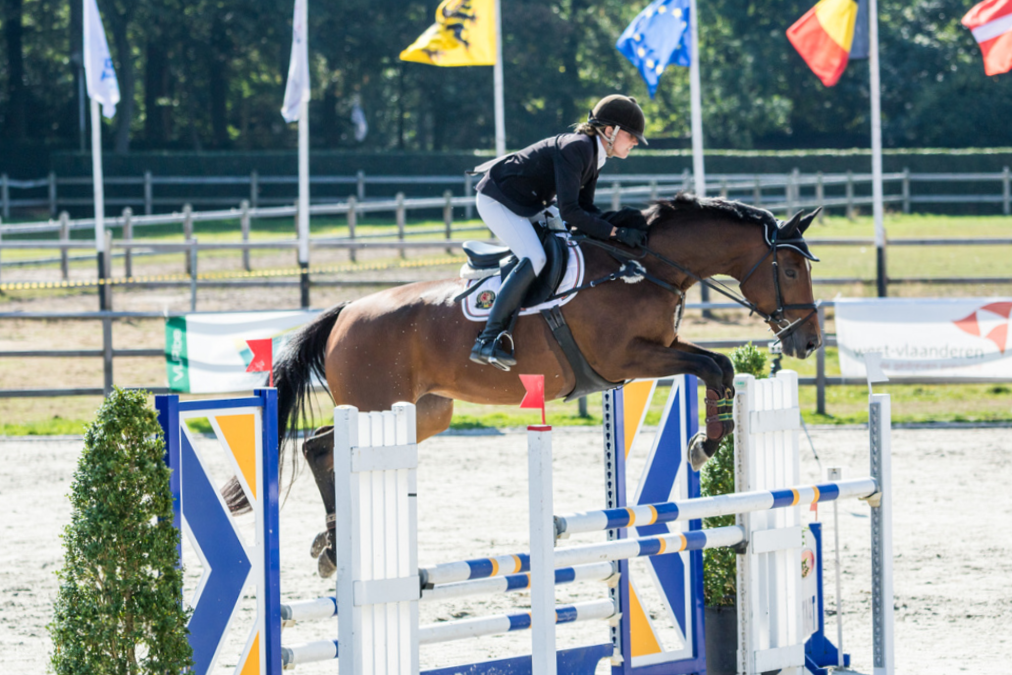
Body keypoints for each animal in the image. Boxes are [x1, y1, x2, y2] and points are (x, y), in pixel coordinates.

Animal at [223, 194, 823, 576]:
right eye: (791, 271)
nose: (809, 342)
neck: (641, 264)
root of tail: (346, 310)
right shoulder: (627, 356)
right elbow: (714, 366)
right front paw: (704, 446)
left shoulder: (652, 351)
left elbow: (717, 366)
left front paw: (705, 442)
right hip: (374, 404)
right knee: (318, 447)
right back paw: (334, 546)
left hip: (421, 411)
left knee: (322, 445)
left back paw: (328, 544)